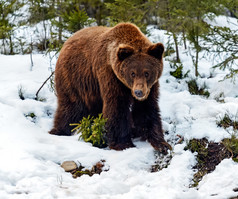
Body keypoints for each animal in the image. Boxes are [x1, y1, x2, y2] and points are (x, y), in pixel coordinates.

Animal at [49, 22, 171, 154]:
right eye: (132, 73)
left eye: (147, 73)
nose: (138, 92)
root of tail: (66, 42)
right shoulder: (110, 76)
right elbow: (117, 107)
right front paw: (124, 144)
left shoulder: (150, 88)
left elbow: (147, 109)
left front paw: (161, 143)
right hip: (74, 78)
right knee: (71, 108)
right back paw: (59, 131)